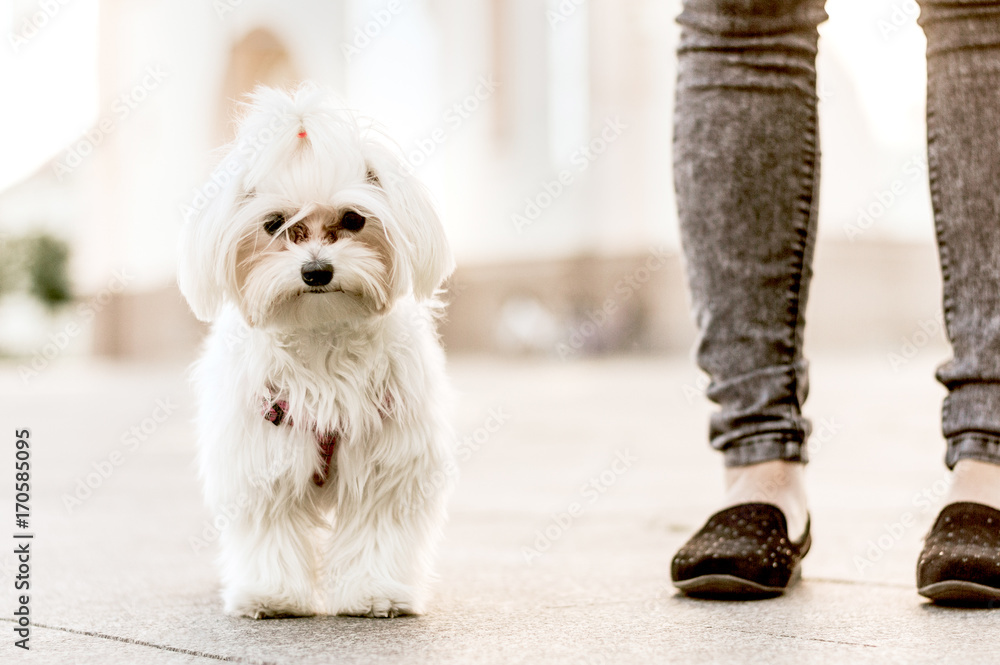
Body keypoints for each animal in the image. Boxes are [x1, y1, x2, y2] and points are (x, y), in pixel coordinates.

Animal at [179, 84, 458, 616]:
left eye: (352, 219)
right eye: (275, 224)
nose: (316, 271)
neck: (321, 334)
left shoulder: (386, 465)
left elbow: (376, 529)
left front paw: (375, 593)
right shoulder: (263, 460)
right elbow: (271, 528)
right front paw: (272, 594)